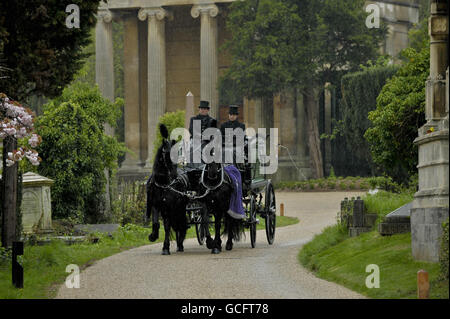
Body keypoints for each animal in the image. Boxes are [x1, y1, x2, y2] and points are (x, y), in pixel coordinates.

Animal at [147, 124, 189, 255]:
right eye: (168, 154)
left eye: (178, 153)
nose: (175, 176)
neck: (163, 184)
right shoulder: (156, 206)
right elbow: (156, 223)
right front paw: (153, 236)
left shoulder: (170, 208)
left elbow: (167, 226)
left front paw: (166, 247)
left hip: (179, 208)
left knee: (179, 222)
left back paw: (180, 243)